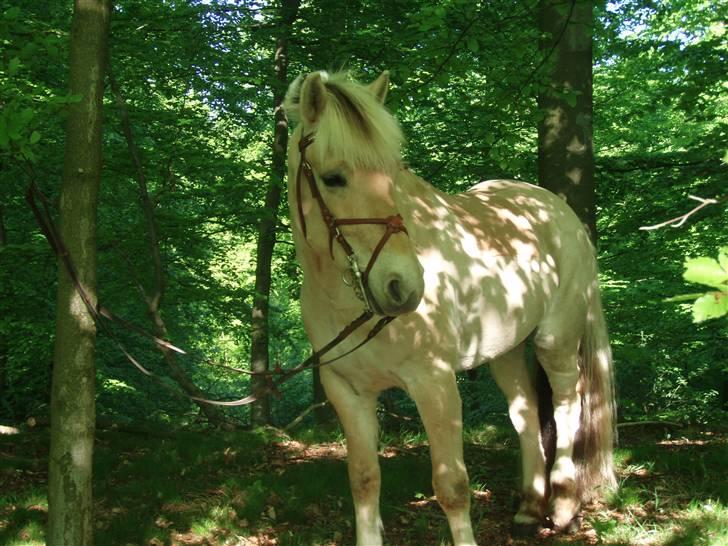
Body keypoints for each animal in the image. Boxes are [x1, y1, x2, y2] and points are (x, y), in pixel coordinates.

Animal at [282, 70, 616, 540]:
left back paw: (564, 503)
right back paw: (530, 507)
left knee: (569, 400)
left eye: (394, 176)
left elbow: (453, 487)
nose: (403, 285)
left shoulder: (435, 384)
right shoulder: (347, 391)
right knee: (527, 412)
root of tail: (559, 211)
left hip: (557, 340)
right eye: (332, 178)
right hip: (507, 351)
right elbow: (364, 481)